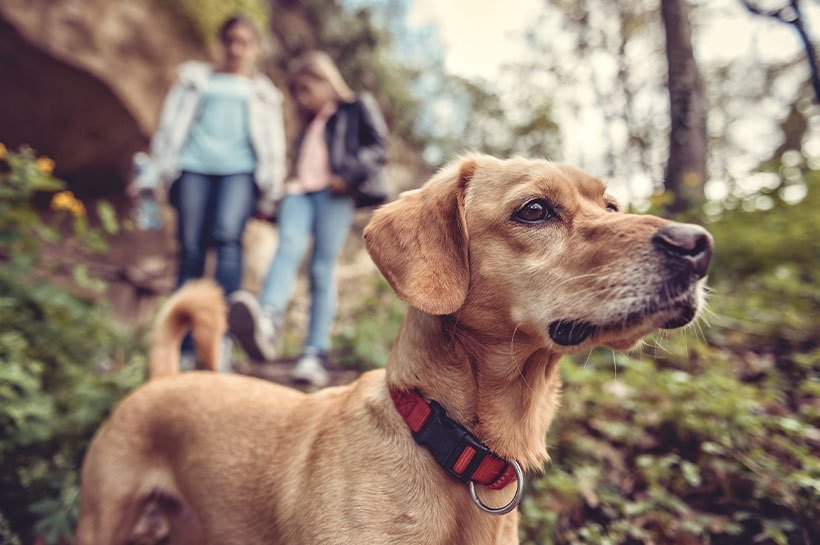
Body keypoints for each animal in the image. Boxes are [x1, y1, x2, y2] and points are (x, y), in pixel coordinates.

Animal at [75, 153, 712, 544]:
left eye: (611, 207)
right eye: (535, 210)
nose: (699, 244)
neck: (449, 441)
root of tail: (164, 378)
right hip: (101, 519)